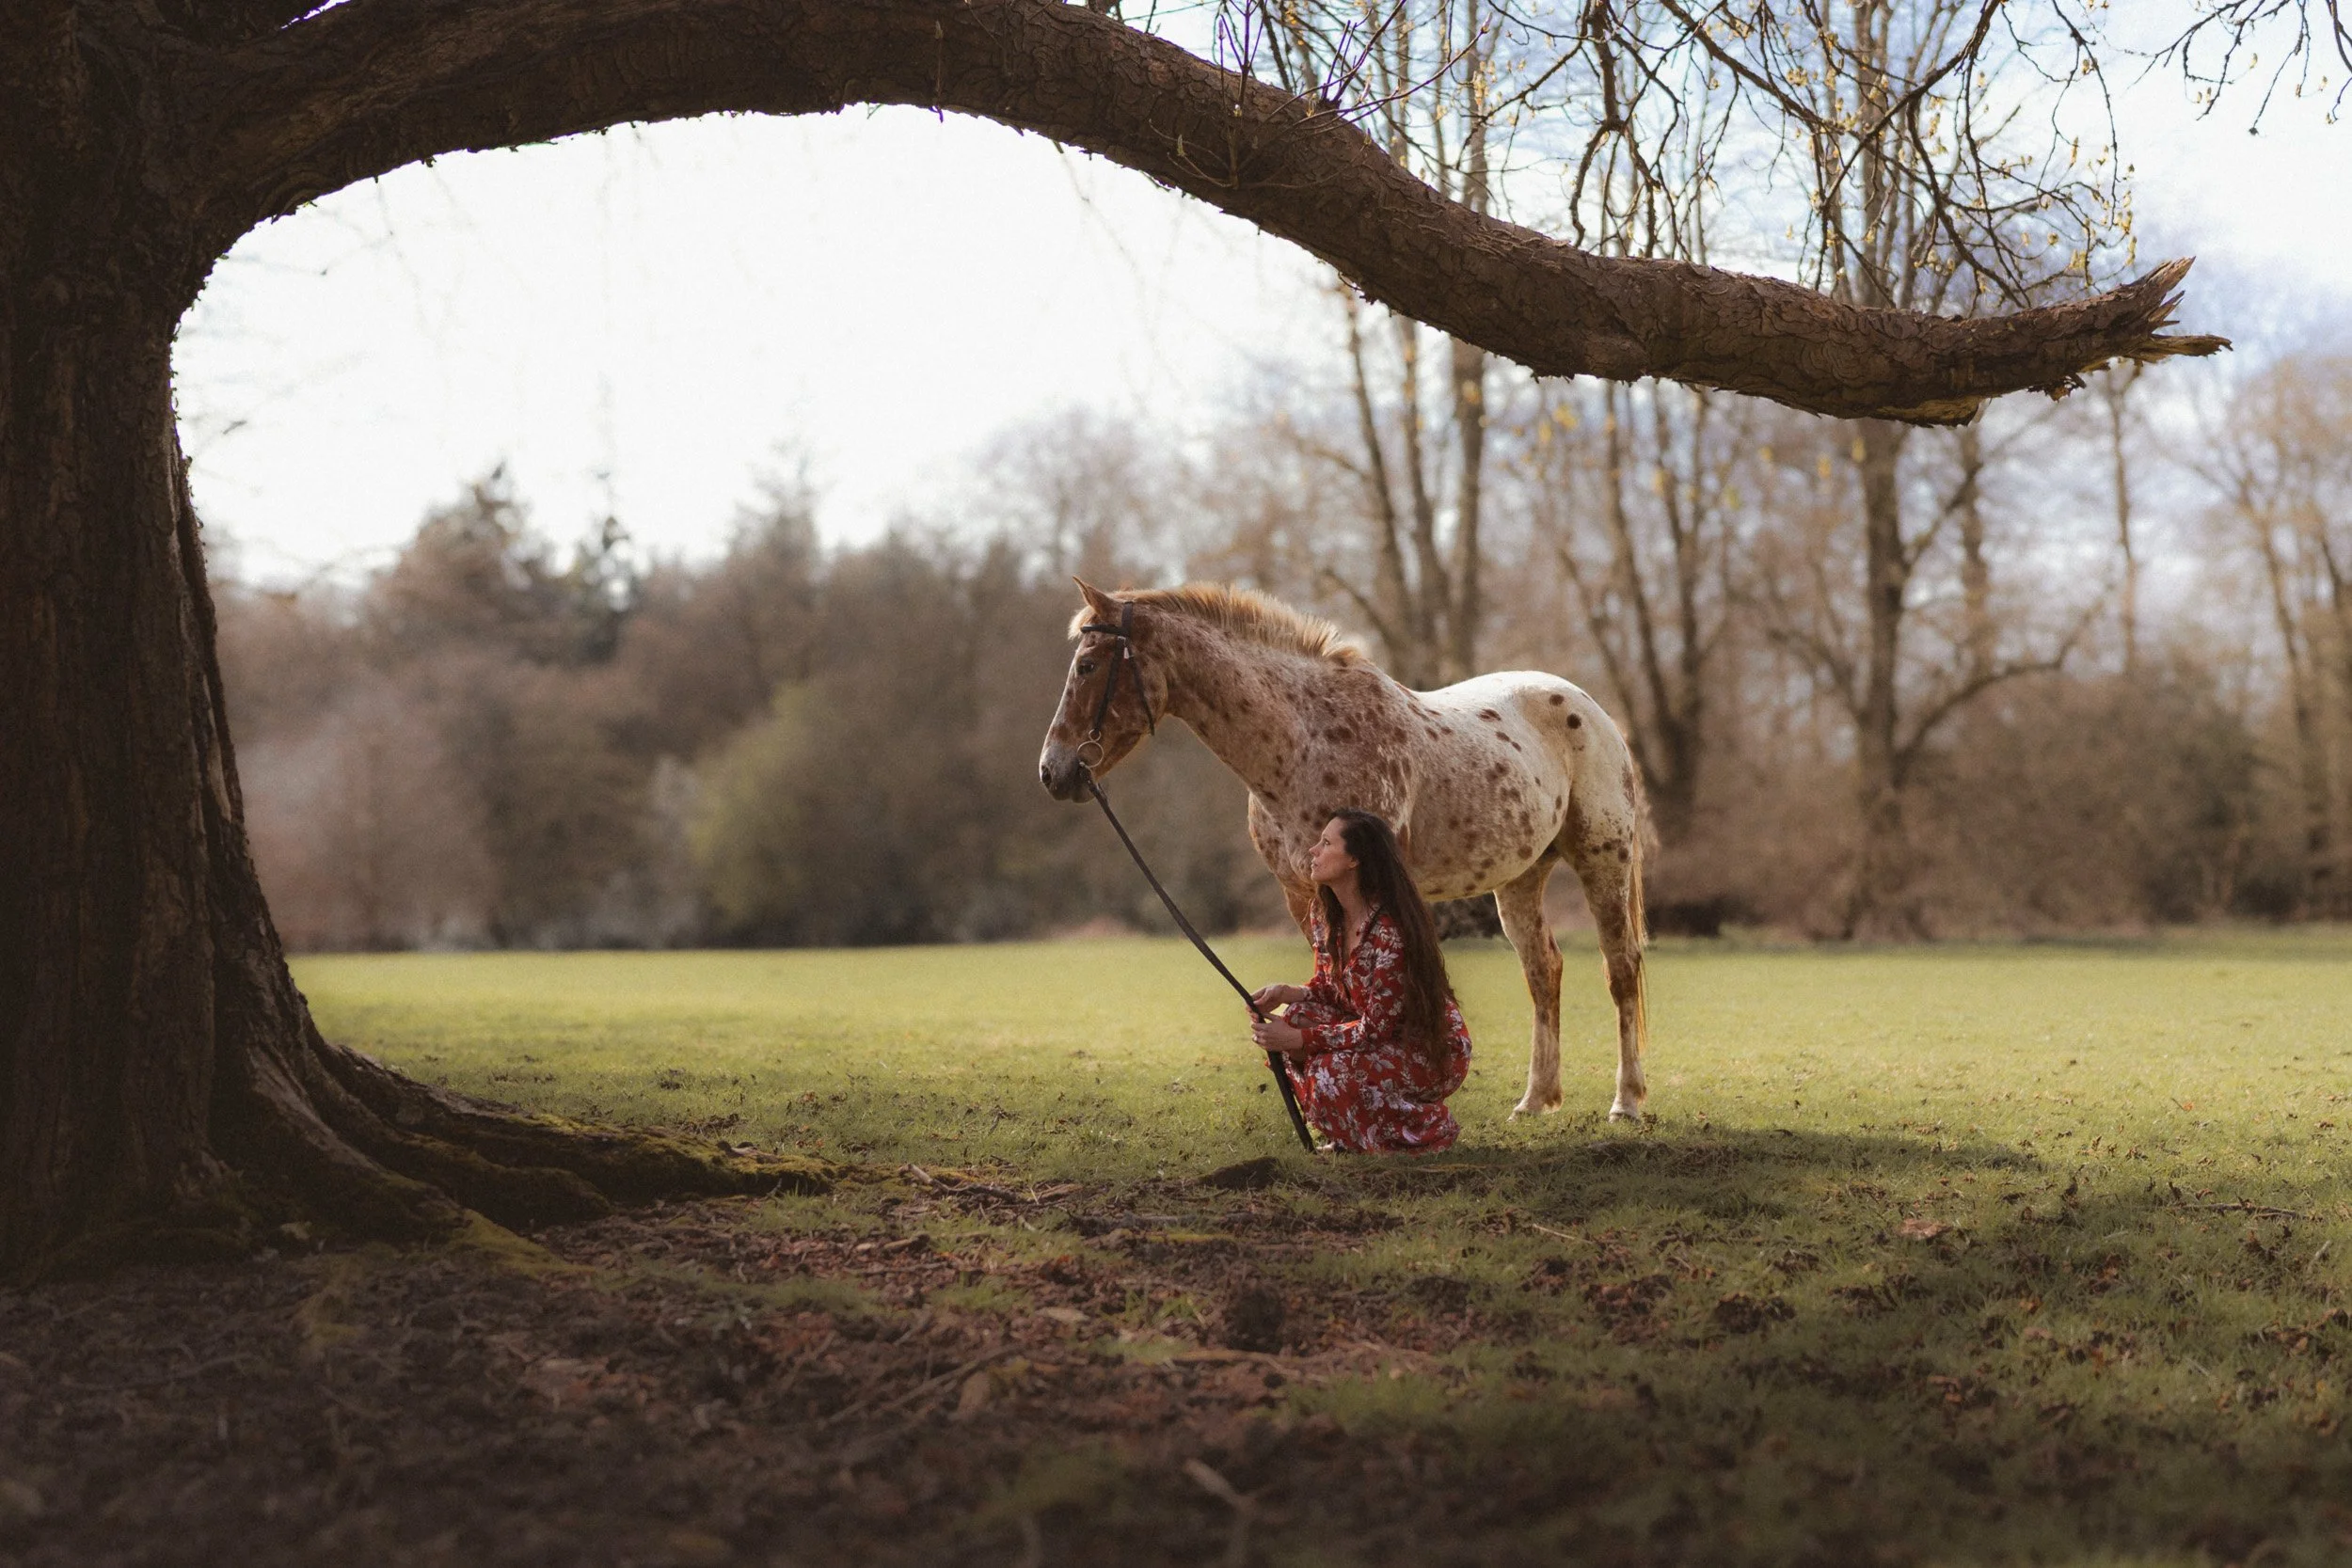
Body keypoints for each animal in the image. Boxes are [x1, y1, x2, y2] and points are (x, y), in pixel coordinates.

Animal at [1037, 579, 1650, 1122]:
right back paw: (1535, 1101)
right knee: (1543, 971)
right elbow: (1326, 975)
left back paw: (1626, 1102)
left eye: (1086, 666)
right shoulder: (1300, 891)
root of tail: (1589, 708)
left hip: (1603, 858)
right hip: (1520, 879)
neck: (1302, 742)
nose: (1052, 771)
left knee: (1620, 969)